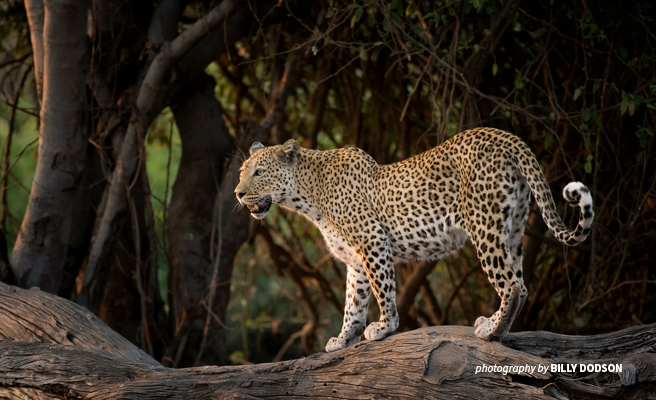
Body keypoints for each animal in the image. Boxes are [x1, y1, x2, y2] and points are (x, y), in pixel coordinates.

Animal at [233, 126, 592, 352]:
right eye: (241, 172)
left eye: (259, 173)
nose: (237, 193)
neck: (306, 197)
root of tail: (506, 136)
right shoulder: (355, 260)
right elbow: (353, 303)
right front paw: (343, 340)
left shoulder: (372, 240)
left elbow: (383, 290)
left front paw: (384, 328)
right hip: (513, 227)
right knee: (521, 282)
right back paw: (495, 327)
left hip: (484, 227)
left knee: (512, 285)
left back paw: (490, 332)